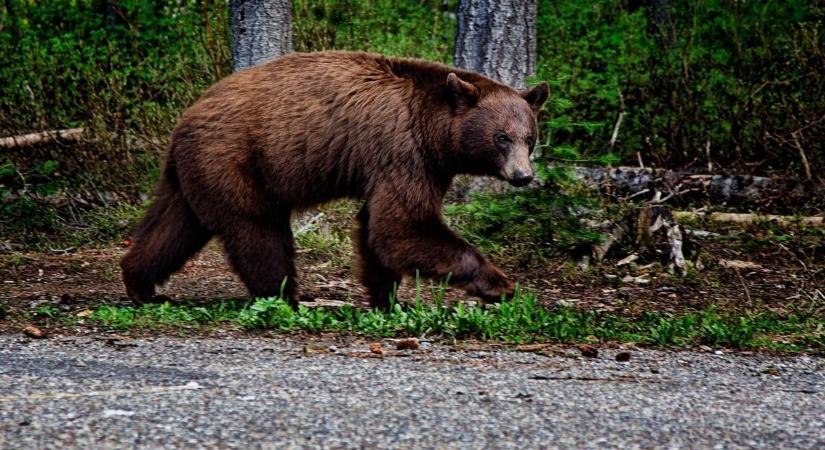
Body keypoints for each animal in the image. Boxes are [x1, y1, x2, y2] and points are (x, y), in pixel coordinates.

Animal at [120, 50, 548, 310]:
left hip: (192, 172)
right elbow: (403, 227)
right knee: (257, 229)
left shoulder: (422, 165)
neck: (434, 129)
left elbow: (378, 230)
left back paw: (141, 284)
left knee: (174, 225)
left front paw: (387, 299)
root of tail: (184, 119)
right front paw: (500, 284)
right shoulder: (403, 153)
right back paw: (284, 297)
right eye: (501, 137)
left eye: (530, 137)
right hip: (234, 160)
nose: (523, 176)